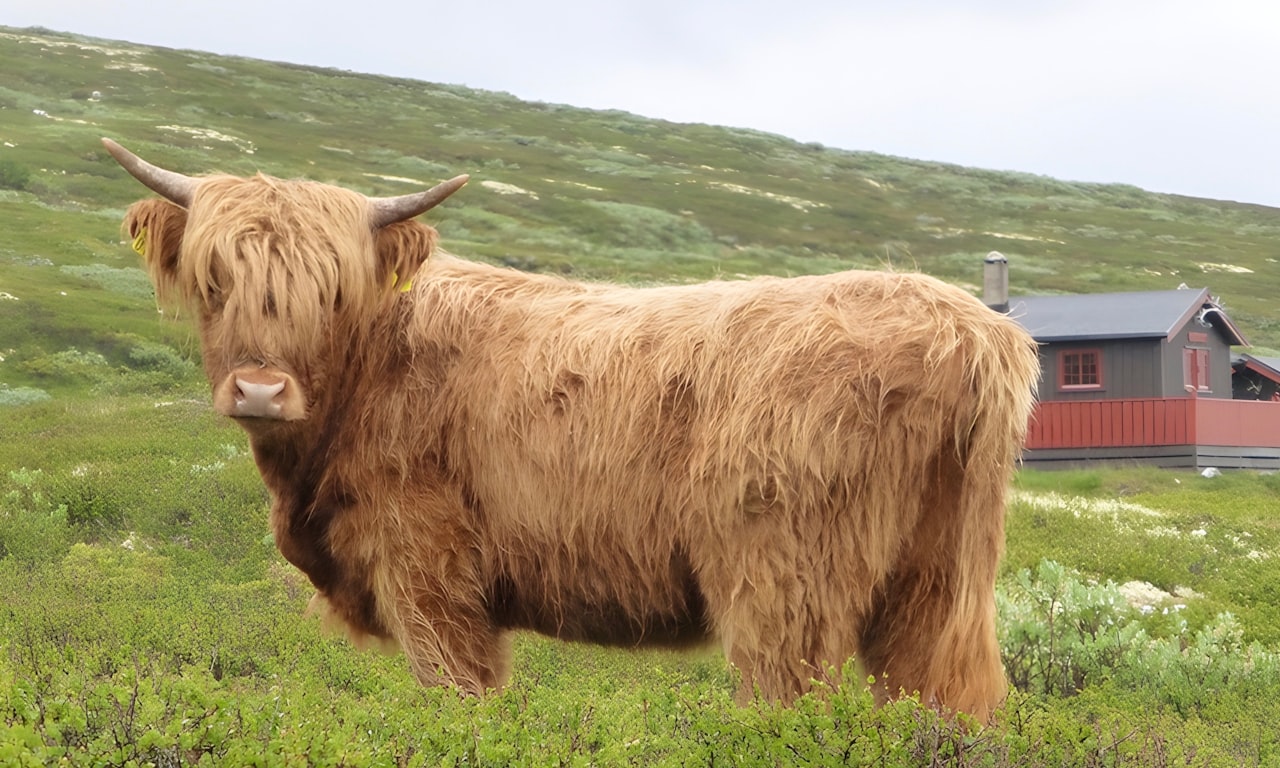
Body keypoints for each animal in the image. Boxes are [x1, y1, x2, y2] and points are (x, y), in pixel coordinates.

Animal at [102, 136, 1039, 721]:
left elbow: (458, 704)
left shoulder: (428, 574)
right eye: (214, 280)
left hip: (784, 583)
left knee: (789, 706)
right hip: (940, 584)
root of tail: (970, 328)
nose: (261, 391)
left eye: (331, 290)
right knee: (947, 705)